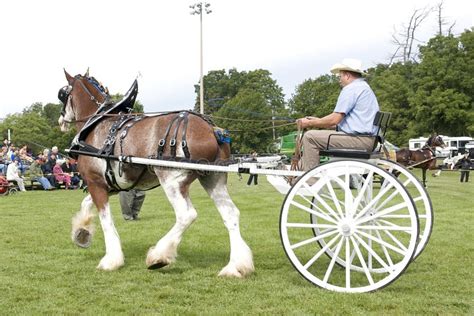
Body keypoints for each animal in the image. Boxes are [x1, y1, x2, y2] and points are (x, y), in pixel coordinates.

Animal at [58, 70, 254, 278]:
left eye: (63, 94)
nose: (61, 120)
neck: (97, 124)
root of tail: (212, 129)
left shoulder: (96, 183)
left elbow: (106, 219)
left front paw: (111, 259)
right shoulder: (112, 185)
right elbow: (86, 203)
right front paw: (81, 233)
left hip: (172, 180)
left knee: (186, 215)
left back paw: (158, 256)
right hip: (212, 178)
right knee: (230, 213)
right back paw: (235, 266)